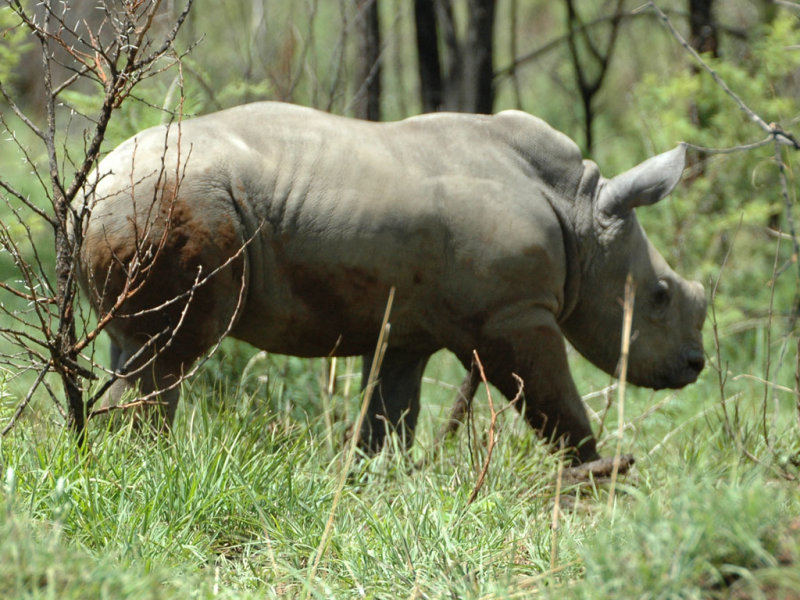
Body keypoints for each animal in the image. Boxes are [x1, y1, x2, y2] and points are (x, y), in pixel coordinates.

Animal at [79, 103, 708, 462]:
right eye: (659, 296)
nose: (695, 366)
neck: (579, 212)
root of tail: (92, 183)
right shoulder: (513, 314)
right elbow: (554, 401)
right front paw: (599, 473)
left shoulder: (407, 330)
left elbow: (387, 415)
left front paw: (375, 481)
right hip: (171, 197)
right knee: (169, 356)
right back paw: (145, 465)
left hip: (138, 201)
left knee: (132, 347)